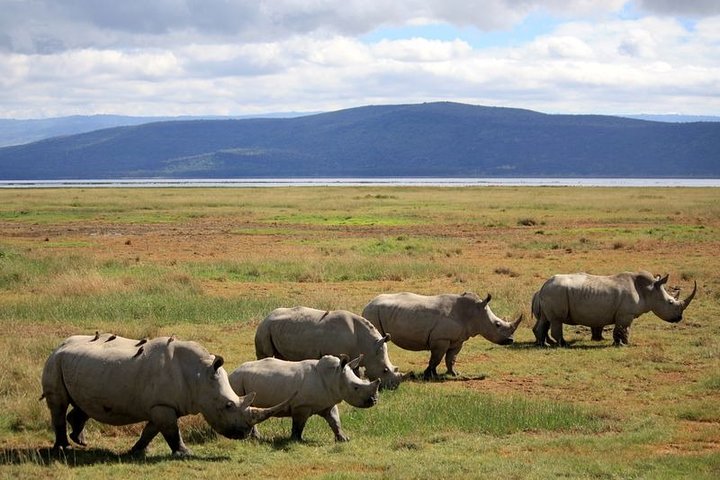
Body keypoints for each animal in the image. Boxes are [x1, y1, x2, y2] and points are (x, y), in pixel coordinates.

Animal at [41, 333, 292, 456]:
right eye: (229, 406)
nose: (245, 434)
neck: (200, 376)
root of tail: (58, 345)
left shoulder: (161, 405)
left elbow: (151, 430)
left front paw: (137, 451)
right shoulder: (163, 406)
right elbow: (171, 431)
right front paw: (185, 453)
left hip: (77, 364)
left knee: (82, 404)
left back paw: (80, 441)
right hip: (55, 361)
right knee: (58, 404)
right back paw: (64, 449)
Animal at [228, 355, 380, 442]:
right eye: (356, 388)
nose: (374, 401)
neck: (334, 376)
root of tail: (232, 372)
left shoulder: (329, 402)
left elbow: (335, 421)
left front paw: (344, 439)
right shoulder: (301, 406)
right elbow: (299, 424)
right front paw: (296, 440)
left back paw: (257, 438)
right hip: (237, 381)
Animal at [255, 307, 402, 389]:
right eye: (384, 370)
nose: (393, 387)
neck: (369, 345)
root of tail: (267, 316)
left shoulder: (356, 355)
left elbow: (356, 373)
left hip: (277, 328)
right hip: (265, 329)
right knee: (265, 355)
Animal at [362, 292, 523, 380]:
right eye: (497, 324)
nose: (511, 340)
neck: (473, 312)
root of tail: (368, 303)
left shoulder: (457, 340)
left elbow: (451, 358)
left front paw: (453, 374)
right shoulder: (441, 339)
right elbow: (436, 358)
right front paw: (429, 375)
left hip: (377, 312)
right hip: (373, 312)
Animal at [531, 271, 697, 347]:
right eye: (670, 302)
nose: (679, 318)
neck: (649, 291)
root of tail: (543, 285)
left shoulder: (624, 314)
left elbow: (622, 329)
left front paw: (621, 343)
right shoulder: (625, 314)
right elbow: (623, 329)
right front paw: (623, 345)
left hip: (551, 293)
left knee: (545, 320)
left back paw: (543, 344)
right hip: (555, 292)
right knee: (556, 320)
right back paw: (563, 344)